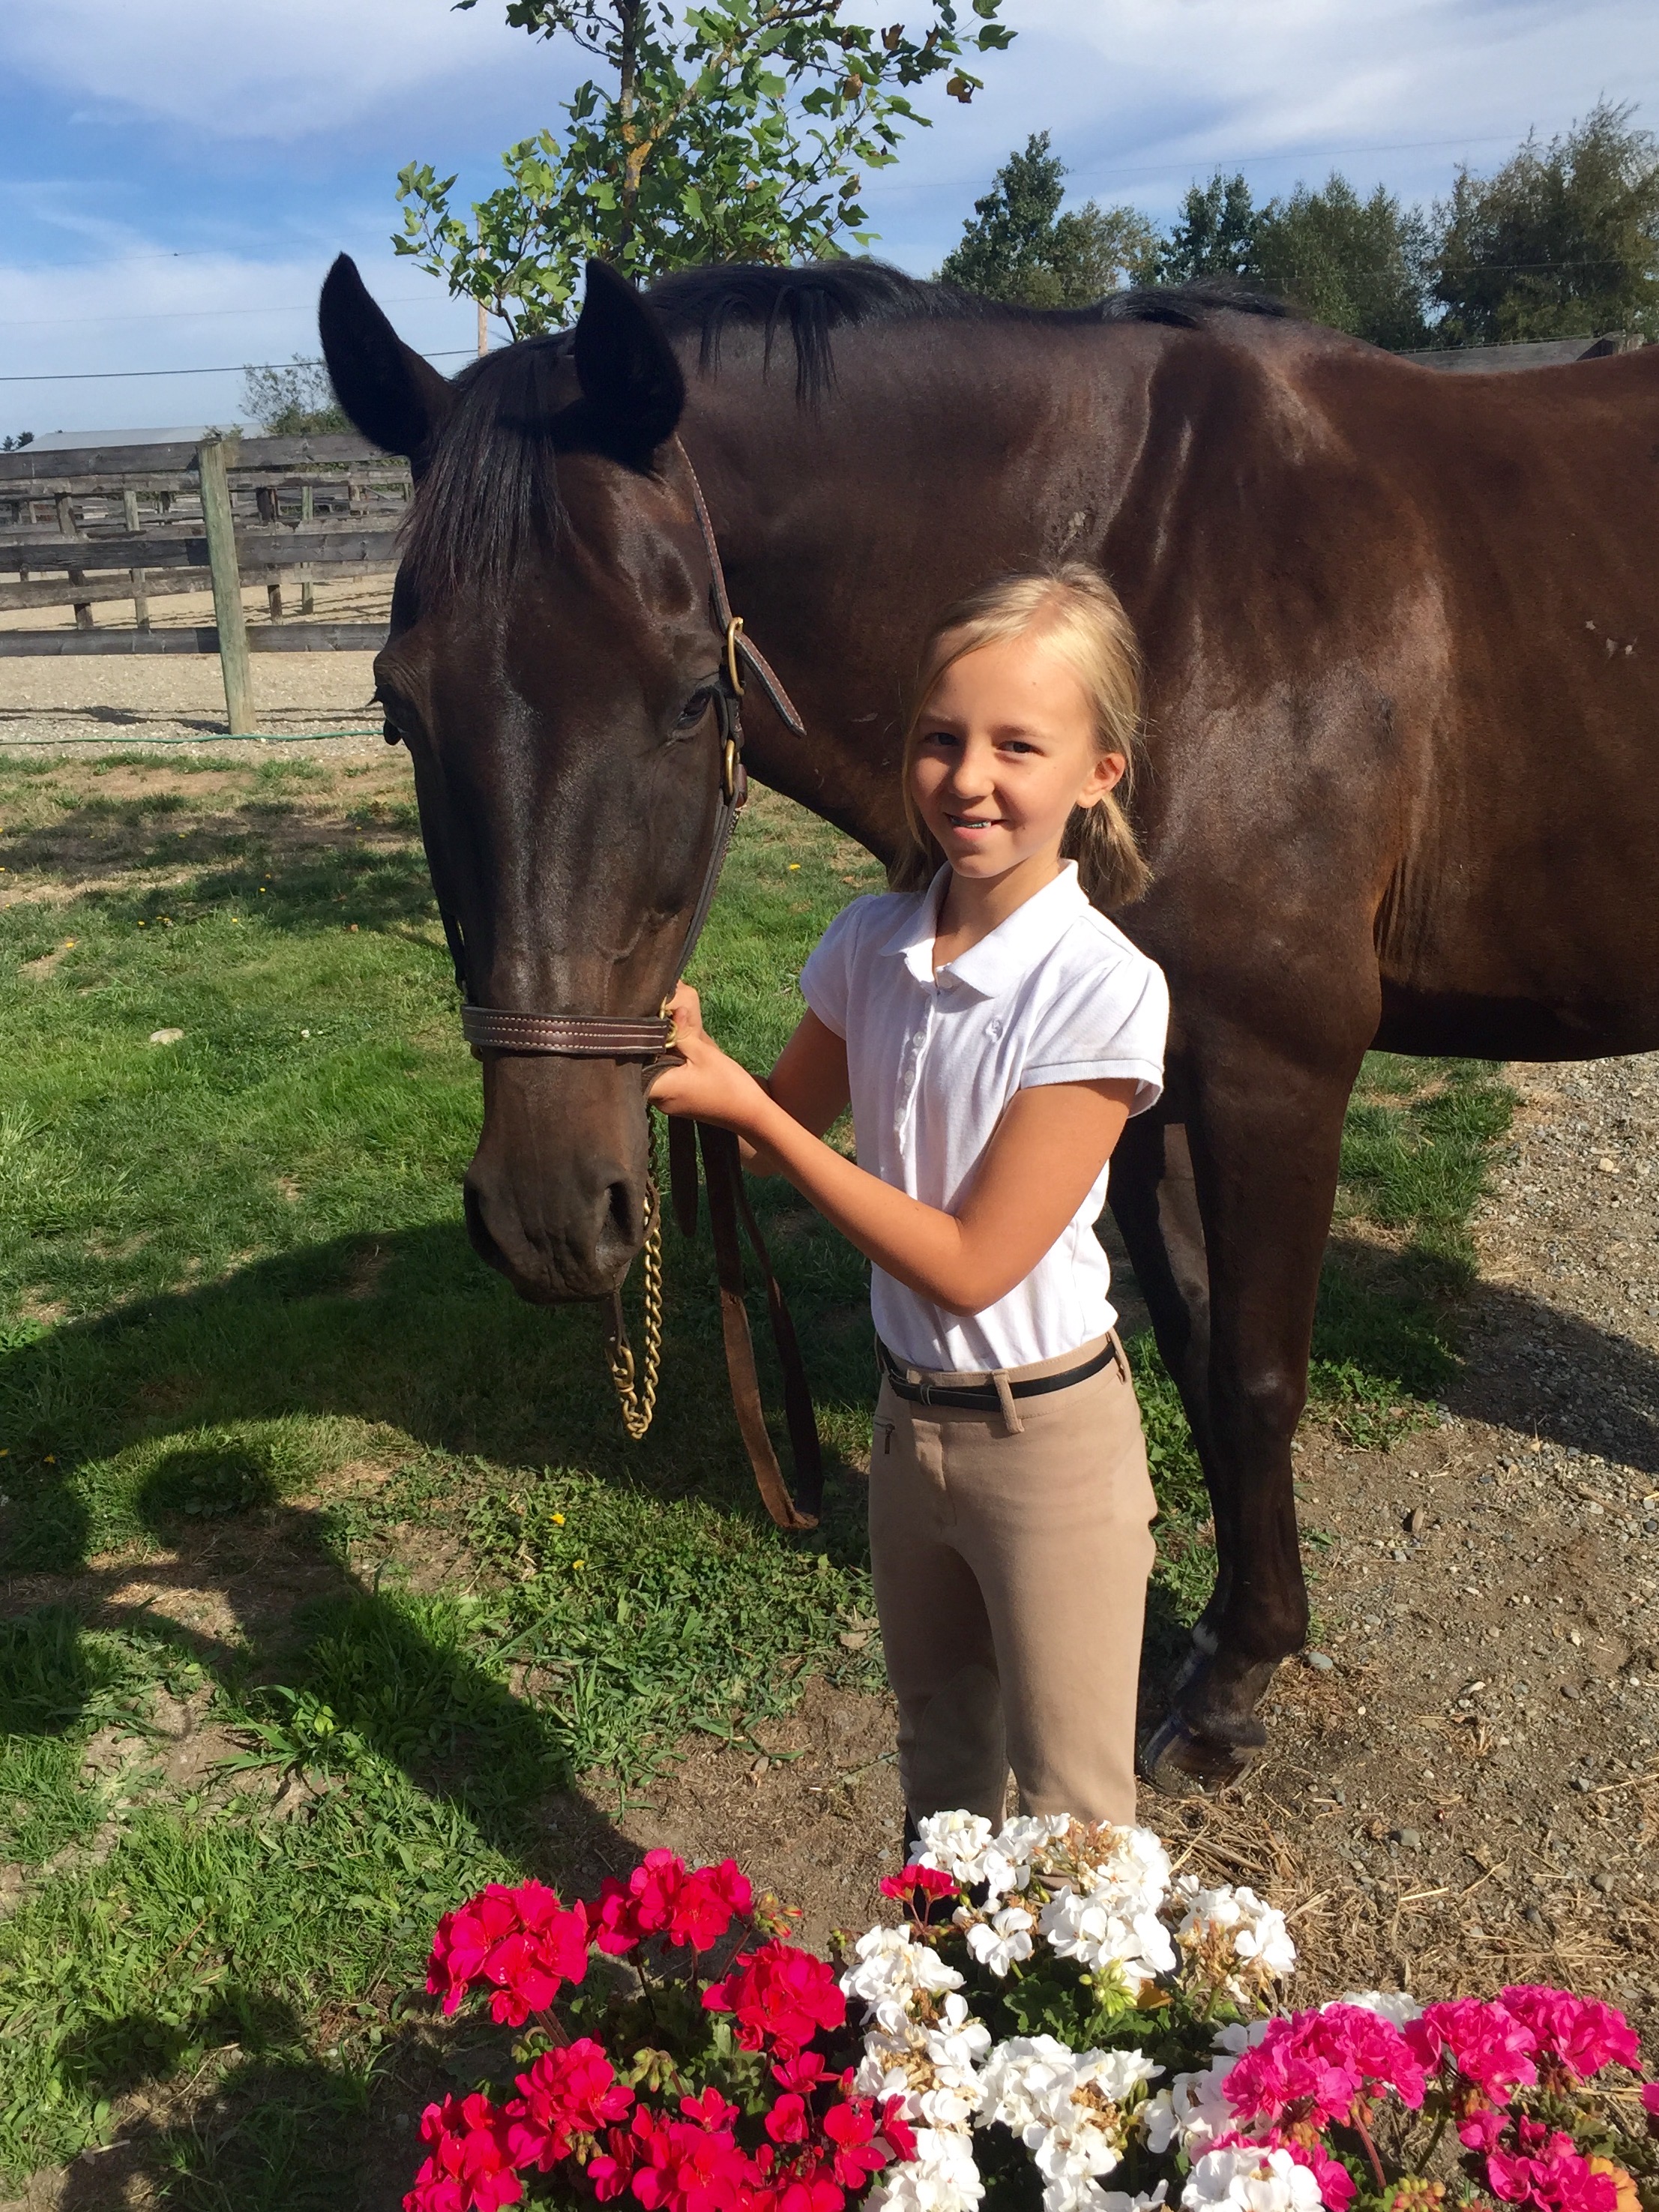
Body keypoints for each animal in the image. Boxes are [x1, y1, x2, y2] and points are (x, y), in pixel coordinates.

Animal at [318, 252, 1659, 1793]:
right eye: (398, 707)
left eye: (693, 693)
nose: (548, 1213)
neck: (1152, 576)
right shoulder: (1145, 1084)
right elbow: (1192, 1350)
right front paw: (1221, 1634)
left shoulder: (1277, 1070)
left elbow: (1258, 1372)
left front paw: (1230, 1689)